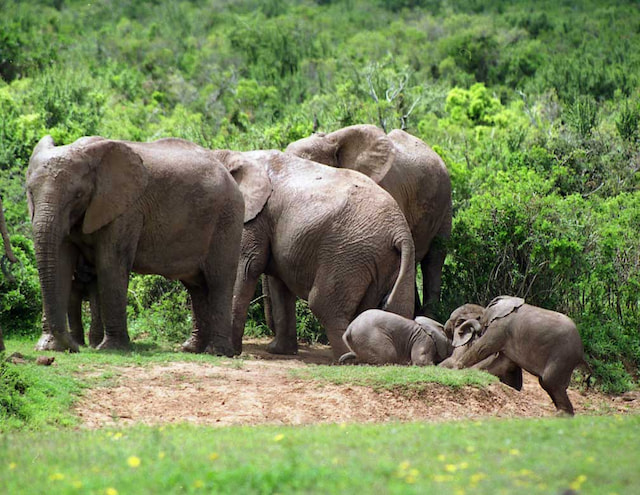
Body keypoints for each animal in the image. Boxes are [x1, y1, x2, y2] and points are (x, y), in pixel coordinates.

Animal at [26, 135, 258, 354]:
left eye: (78, 195)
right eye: (29, 192)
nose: (72, 347)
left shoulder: (126, 210)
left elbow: (111, 264)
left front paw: (111, 349)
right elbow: (61, 263)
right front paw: (50, 347)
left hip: (227, 218)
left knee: (219, 280)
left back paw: (216, 352)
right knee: (197, 286)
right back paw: (192, 349)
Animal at [211, 149, 416, 359]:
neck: (237, 155)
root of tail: (399, 231)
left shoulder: (255, 217)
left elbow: (246, 267)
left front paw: (231, 351)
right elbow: (279, 284)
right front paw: (279, 351)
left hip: (348, 253)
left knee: (323, 304)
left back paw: (349, 359)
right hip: (386, 259)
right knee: (395, 308)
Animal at [440, 296, 584, 415]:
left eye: (480, 319)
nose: (462, 331)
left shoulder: (501, 326)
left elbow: (483, 348)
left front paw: (456, 370)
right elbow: (501, 362)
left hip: (563, 355)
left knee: (549, 381)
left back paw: (562, 415)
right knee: (547, 383)